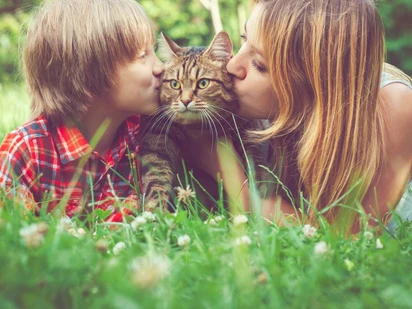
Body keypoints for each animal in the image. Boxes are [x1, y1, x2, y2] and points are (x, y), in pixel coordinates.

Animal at [140, 30, 268, 209]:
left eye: (203, 83)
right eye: (175, 84)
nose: (185, 101)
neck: (197, 127)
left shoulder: (250, 125)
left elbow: (254, 153)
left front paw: (260, 181)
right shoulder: (157, 138)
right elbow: (155, 179)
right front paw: (155, 210)